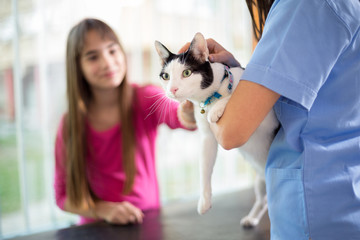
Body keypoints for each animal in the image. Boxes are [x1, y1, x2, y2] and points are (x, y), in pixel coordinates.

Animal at [154, 32, 278, 228]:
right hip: (260, 181)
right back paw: (251, 218)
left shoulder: (269, 119)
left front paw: (216, 109)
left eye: (186, 73)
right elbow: (204, 168)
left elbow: (232, 98)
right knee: (263, 200)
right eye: (165, 76)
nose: (172, 90)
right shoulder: (207, 138)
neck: (209, 97)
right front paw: (204, 201)